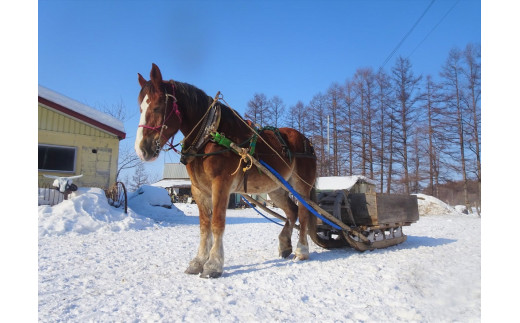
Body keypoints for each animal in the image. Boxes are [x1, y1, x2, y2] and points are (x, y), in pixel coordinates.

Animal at [134, 63, 316, 278]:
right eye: (140, 107)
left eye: (157, 106)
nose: (141, 149)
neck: (208, 135)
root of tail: (306, 141)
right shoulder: (198, 189)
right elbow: (204, 225)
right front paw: (198, 261)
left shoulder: (221, 184)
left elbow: (217, 222)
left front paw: (213, 265)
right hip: (276, 189)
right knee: (292, 211)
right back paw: (285, 245)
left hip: (301, 186)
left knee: (303, 213)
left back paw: (301, 250)